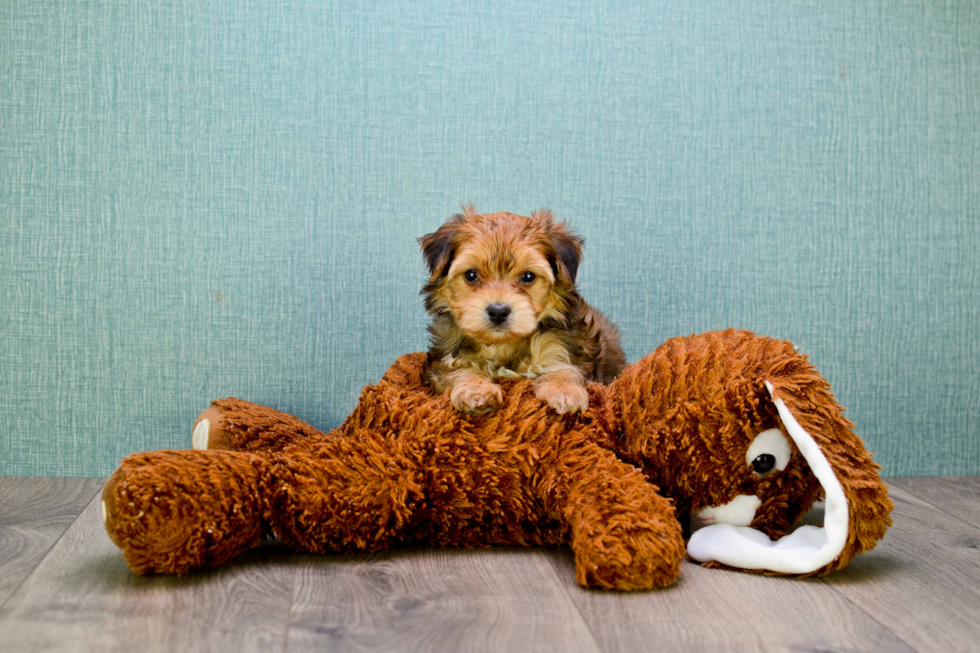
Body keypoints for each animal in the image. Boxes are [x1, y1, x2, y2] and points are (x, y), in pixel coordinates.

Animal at [418, 206, 624, 416]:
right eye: (471, 275)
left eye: (528, 276)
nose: (498, 311)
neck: (503, 344)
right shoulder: (445, 356)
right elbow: (459, 370)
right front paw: (476, 391)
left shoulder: (562, 344)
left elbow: (564, 367)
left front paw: (564, 390)